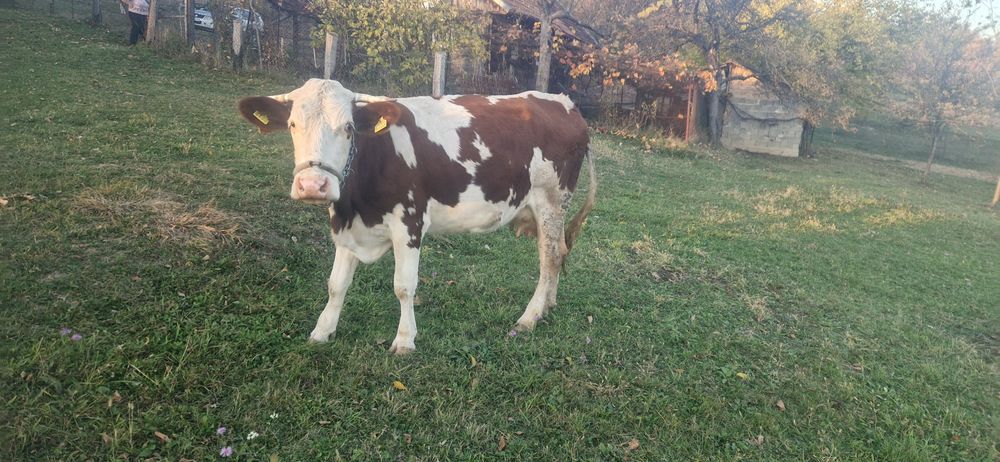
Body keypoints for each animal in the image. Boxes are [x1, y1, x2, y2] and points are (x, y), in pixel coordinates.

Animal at [238, 79, 596, 354]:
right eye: (293, 125)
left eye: (349, 128)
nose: (313, 185)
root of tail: (564, 103)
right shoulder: (347, 227)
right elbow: (336, 284)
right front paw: (322, 330)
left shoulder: (409, 222)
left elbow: (404, 285)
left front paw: (405, 340)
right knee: (557, 253)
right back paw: (547, 305)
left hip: (551, 201)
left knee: (549, 258)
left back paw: (530, 316)